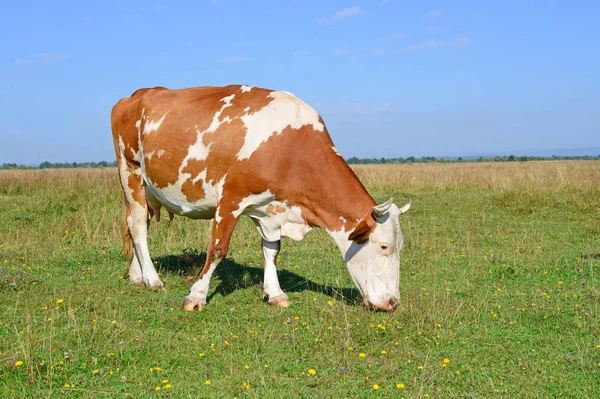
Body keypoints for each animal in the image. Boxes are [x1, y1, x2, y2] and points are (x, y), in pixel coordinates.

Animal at [110, 84, 410, 312]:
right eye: (384, 246)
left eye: (401, 246)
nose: (393, 303)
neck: (291, 149)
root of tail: (139, 93)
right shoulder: (230, 198)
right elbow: (217, 249)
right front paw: (196, 296)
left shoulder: (270, 209)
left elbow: (272, 250)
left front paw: (275, 293)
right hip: (130, 172)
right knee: (138, 227)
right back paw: (152, 279)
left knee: (137, 225)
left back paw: (137, 275)